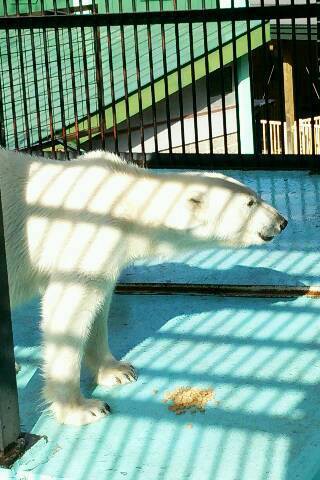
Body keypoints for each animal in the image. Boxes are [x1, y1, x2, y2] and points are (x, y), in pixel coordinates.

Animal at [0, 149, 288, 424]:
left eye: (255, 196)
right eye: (250, 203)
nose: (282, 221)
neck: (124, 200)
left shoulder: (108, 252)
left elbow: (97, 308)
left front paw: (117, 371)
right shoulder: (84, 236)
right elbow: (67, 310)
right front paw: (82, 409)